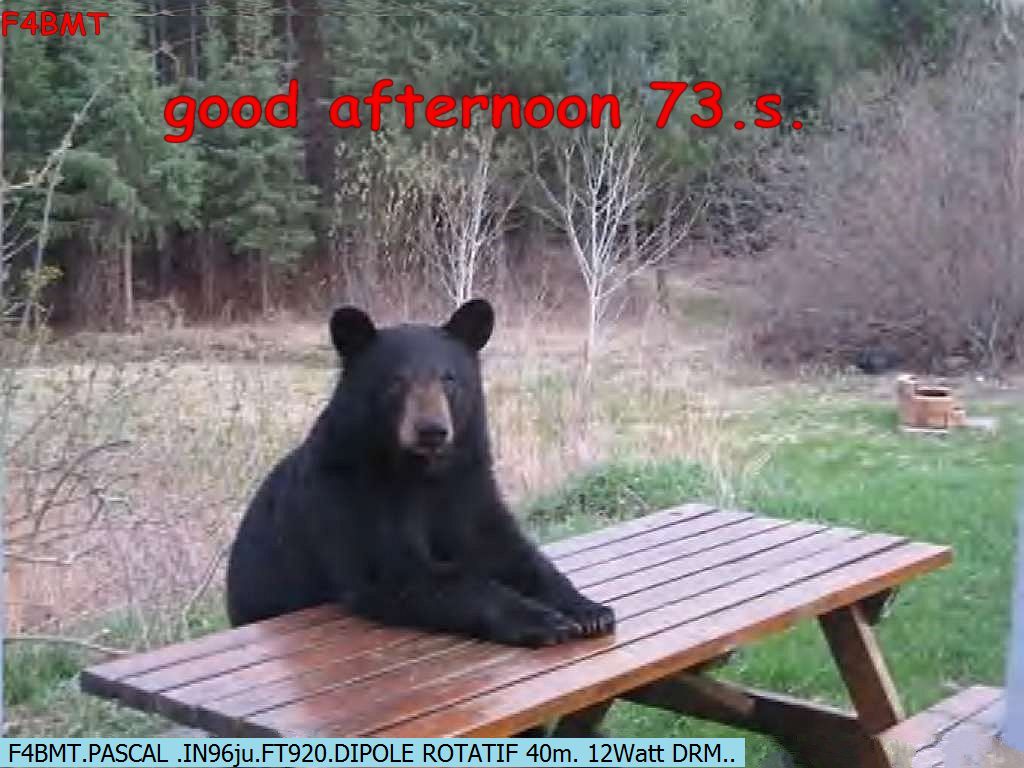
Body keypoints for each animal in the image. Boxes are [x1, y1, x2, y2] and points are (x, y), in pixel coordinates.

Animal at [225, 298, 615, 648]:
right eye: (396, 381)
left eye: (449, 378)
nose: (431, 430)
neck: (422, 473)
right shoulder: (350, 496)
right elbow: (401, 573)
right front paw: (543, 620)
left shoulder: (468, 485)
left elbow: (508, 549)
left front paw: (588, 610)